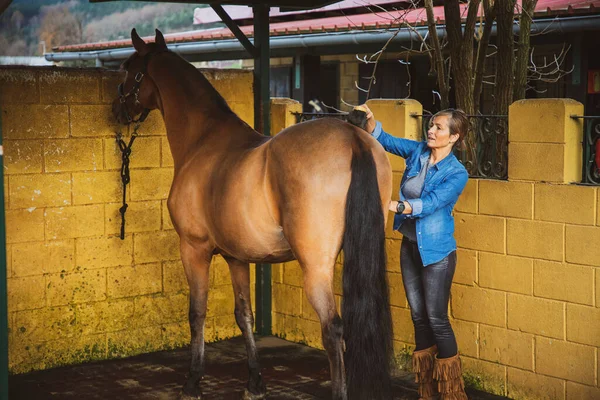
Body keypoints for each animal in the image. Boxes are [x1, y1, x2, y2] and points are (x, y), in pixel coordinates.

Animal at [111, 29, 394, 400]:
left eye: (130, 70)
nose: (116, 111)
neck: (203, 140)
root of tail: (352, 138)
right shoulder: (237, 256)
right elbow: (243, 314)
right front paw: (255, 383)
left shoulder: (193, 248)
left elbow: (197, 313)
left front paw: (192, 382)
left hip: (315, 266)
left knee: (332, 329)